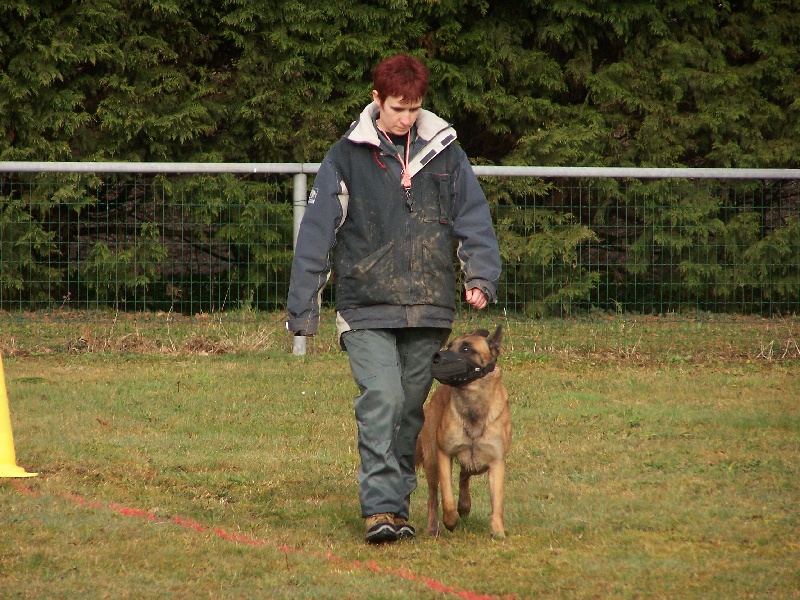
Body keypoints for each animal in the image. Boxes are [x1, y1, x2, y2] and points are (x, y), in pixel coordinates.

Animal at [416, 326, 510, 540]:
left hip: (478, 463)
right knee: (433, 497)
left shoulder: (496, 463)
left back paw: (465, 505)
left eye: (466, 349)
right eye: (450, 345)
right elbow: (447, 498)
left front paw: (498, 531)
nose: (436, 357)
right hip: (432, 461)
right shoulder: (444, 455)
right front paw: (450, 522)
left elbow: (497, 503)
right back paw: (434, 527)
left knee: (464, 475)